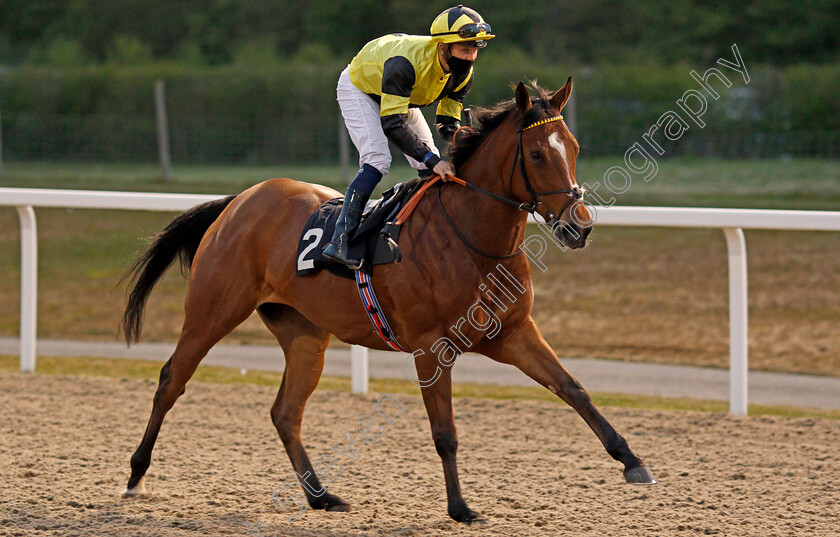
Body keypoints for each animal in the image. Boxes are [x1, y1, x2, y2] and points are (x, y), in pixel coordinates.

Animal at [120, 79, 656, 524]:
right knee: (171, 380)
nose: (579, 227)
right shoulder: (431, 347)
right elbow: (445, 432)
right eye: (540, 155)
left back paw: (321, 496)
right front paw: (460, 507)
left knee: (285, 413)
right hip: (211, 312)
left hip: (305, 335)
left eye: (575, 148)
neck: (471, 238)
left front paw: (632, 461)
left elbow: (573, 389)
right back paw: (135, 475)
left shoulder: (514, 333)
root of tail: (238, 200)